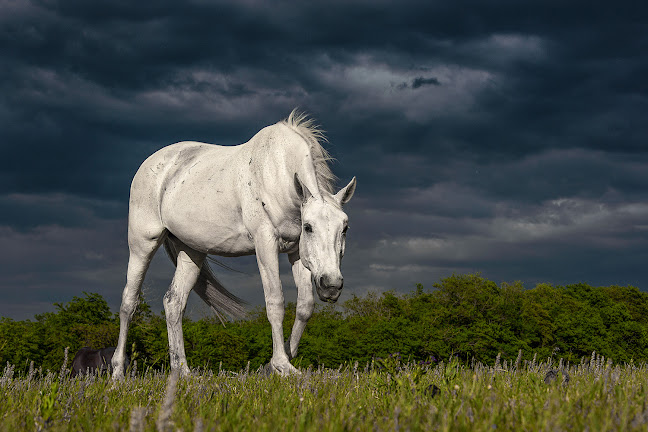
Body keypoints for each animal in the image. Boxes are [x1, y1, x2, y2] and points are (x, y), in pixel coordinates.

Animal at [110, 110, 354, 378]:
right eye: (309, 227)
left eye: (344, 227)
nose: (331, 285)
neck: (278, 173)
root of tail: (151, 164)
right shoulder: (265, 244)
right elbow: (275, 301)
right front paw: (281, 365)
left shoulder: (296, 252)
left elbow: (304, 306)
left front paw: (276, 363)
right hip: (143, 244)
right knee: (129, 302)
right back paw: (118, 372)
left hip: (192, 252)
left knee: (173, 302)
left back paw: (182, 372)